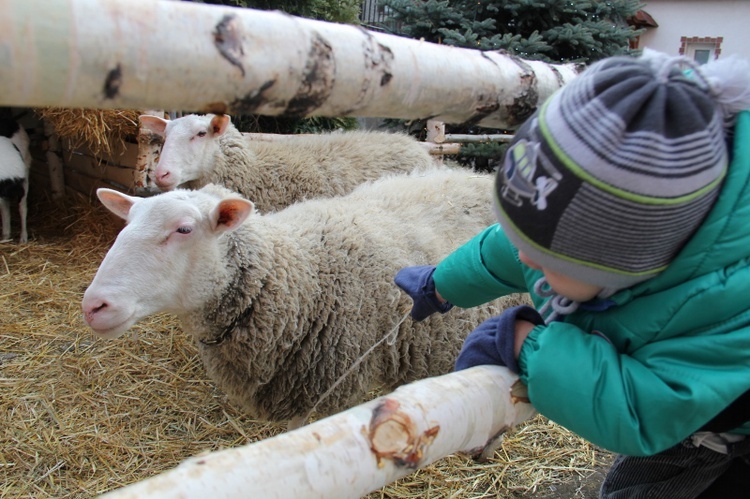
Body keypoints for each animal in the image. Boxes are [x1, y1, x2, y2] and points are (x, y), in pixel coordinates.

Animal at [81, 170, 528, 428]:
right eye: (126, 223)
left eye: (184, 229)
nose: (94, 306)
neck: (295, 272)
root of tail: (478, 174)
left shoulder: (332, 387)